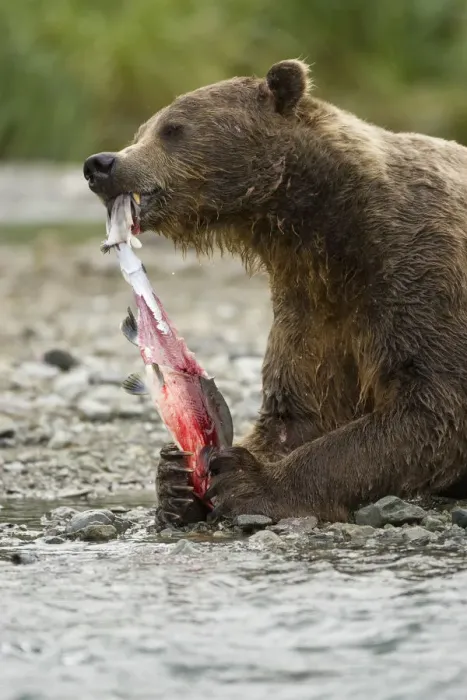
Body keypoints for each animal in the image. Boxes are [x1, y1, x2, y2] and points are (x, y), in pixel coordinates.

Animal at [84, 59, 467, 525]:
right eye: (141, 131)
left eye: (173, 128)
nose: (100, 164)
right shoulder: (311, 304)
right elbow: (298, 410)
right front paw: (175, 479)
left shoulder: (420, 270)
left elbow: (430, 406)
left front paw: (251, 484)